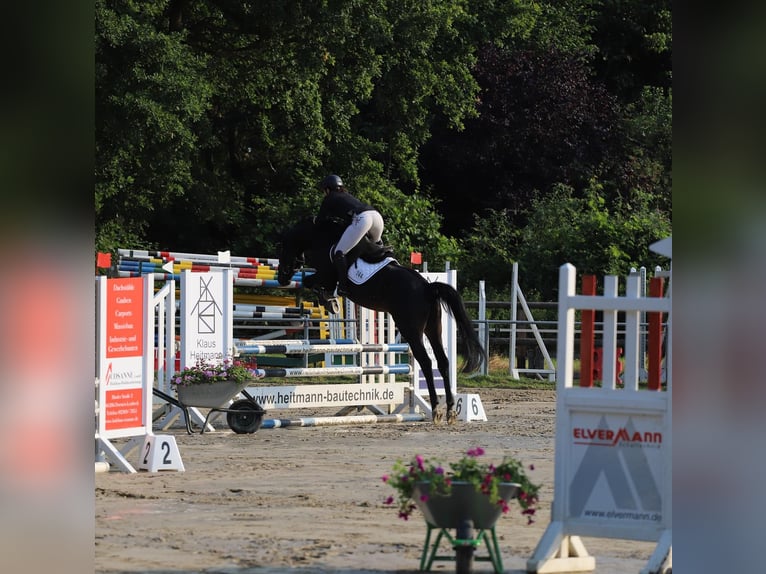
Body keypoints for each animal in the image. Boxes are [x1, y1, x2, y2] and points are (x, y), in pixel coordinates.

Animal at [276, 216, 486, 424]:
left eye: (283, 248)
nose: (282, 279)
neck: (322, 237)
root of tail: (428, 287)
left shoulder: (326, 275)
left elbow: (310, 281)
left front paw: (329, 301)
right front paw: (329, 301)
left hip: (411, 330)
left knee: (426, 361)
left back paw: (435, 408)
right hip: (434, 328)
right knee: (442, 361)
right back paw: (450, 410)